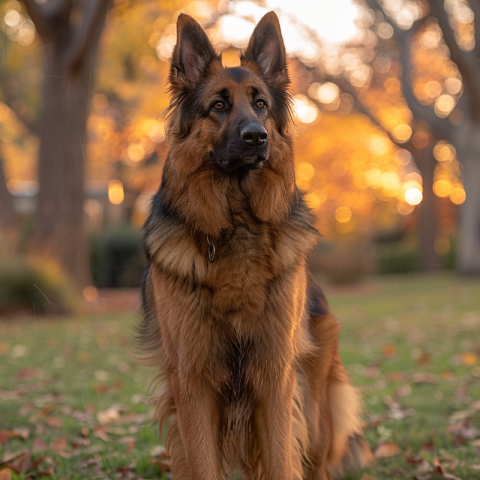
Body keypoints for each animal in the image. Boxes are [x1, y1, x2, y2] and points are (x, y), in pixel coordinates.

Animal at [139, 11, 376, 480]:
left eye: (261, 104)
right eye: (218, 105)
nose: (256, 137)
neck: (237, 224)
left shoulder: (275, 377)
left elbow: (282, 461)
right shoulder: (192, 383)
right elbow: (203, 464)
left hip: (314, 412)